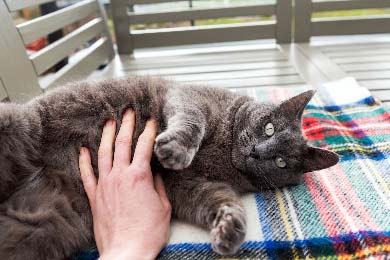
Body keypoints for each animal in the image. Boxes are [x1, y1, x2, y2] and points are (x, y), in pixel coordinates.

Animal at [0, 75, 336, 260]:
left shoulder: (187, 185)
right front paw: (175, 150)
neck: (226, 150)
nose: (257, 151)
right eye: (268, 129)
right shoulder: (190, 98)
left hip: (41, 230)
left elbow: (215, 199)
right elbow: (192, 121)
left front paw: (231, 228)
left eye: (280, 161)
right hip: (24, 122)